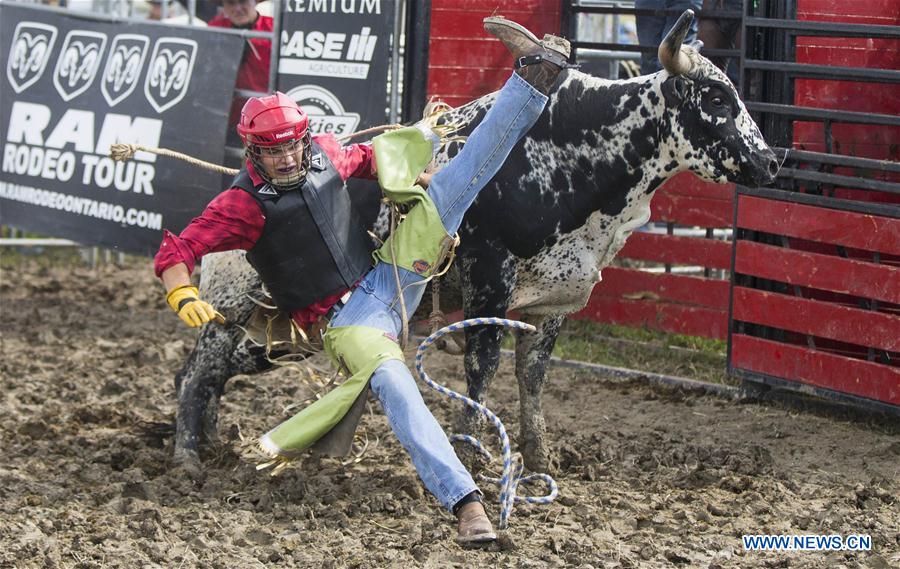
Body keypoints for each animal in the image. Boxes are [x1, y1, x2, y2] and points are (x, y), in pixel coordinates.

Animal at [172, 14, 776, 470]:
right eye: (716, 97)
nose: (771, 161)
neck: (577, 151)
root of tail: (231, 185)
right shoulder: (491, 275)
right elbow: (482, 366)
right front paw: (470, 449)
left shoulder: (554, 300)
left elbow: (532, 376)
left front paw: (539, 459)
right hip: (232, 308)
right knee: (199, 370)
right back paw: (188, 455)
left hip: (278, 332)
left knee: (207, 371)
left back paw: (210, 441)